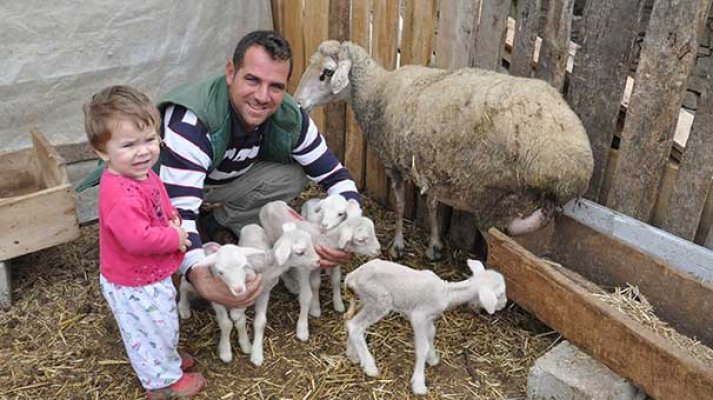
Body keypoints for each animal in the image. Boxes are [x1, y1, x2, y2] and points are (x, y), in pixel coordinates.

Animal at [258, 200, 382, 340]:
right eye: (361, 239)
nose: (378, 250)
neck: (324, 239)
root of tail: (270, 203)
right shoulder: (304, 269)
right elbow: (306, 296)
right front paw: (303, 328)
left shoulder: (325, 263)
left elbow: (329, 281)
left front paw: (335, 304)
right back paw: (291, 284)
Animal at [292, 39, 592, 260]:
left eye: (327, 73)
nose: (297, 103)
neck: (378, 92)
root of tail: (579, 165)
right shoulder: (430, 164)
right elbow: (432, 204)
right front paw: (435, 244)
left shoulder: (394, 163)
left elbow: (400, 204)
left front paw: (398, 244)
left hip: (496, 195)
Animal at [344, 258, 506, 396]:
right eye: (500, 294)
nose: (504, 305)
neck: (447, 293)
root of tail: (352, 276)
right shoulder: (419, 316)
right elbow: (422, 347)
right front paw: (419, 385)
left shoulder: (428, 318)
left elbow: (432, 333)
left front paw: (433, 358)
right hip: (380, 301)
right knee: (356, 326)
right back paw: (370, 367)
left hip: (367, 300)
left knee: (352, 322)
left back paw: (353, 355)